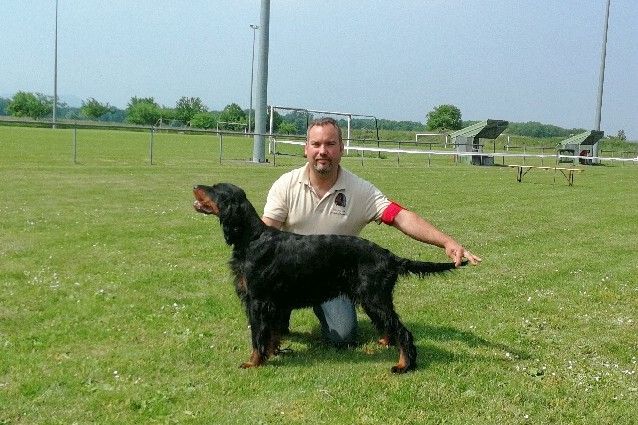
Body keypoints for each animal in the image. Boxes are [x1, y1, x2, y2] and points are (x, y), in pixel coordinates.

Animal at [192, 182, 468, 372]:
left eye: (215, 189)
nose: (195, 185)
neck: (252, 238)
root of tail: (388, 256)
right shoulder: (270, 303)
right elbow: (270, 333)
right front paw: (272, 352)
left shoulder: (257, 300)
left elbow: (258, 335)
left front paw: (254, 362)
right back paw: (385, 343)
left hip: (374, 298)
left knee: (403, 332)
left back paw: (403, 365)